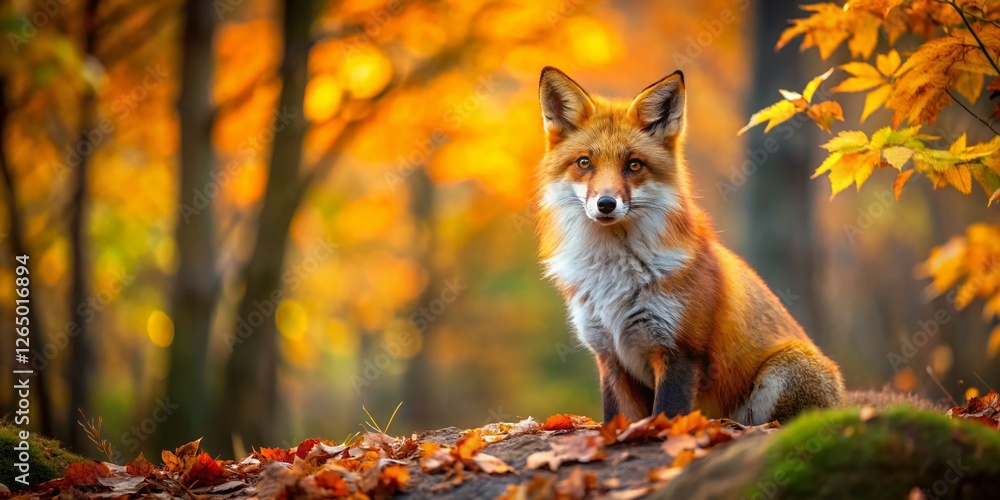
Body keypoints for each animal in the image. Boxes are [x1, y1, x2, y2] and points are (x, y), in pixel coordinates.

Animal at [535, 67, 845, 425]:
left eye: (634, 165)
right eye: (584, 163)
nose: (606, 204)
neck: (613, 275)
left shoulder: (680, 351)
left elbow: (666, 417)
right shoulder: (610, 357)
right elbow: (616, 420)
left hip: (782, 372)